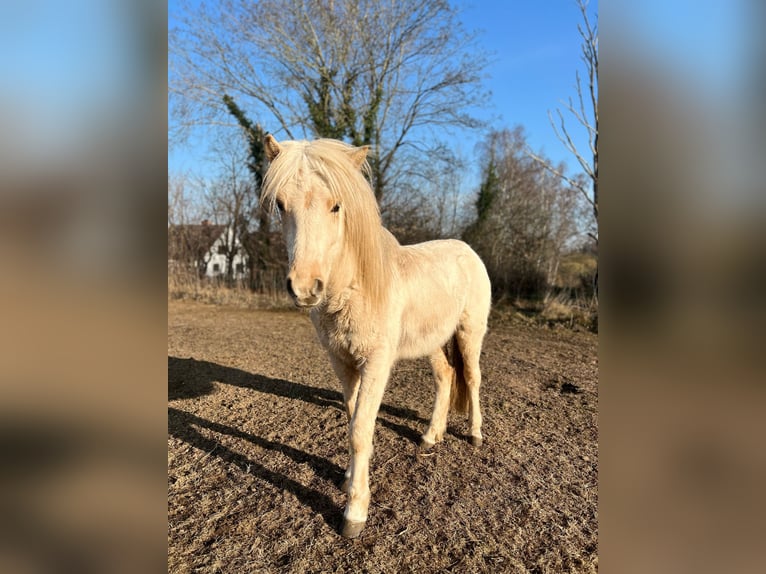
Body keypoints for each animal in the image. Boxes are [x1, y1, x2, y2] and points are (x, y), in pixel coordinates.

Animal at [261, 135, 492, 538]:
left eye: (336, 205)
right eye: (280, 204)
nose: (305, 288)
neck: (357, 288)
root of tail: (468, 251)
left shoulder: (376, 364)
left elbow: (360, 430)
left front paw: (355, 513)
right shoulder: (341, 361)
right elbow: (352, 418)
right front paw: (347, 480)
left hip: (469, 333)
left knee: (473, 378)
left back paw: (475, 435)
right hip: (433, 340)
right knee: (446, 377)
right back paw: (431, 435)